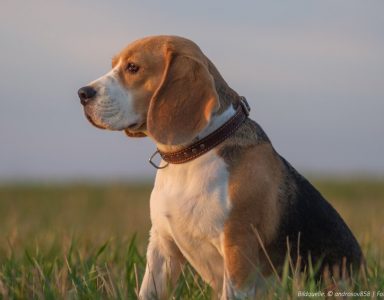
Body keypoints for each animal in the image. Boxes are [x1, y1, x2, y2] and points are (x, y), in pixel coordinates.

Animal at [79, 34, 364, 298]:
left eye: (133, 67)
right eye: (114, 65)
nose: (82, 93)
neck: (194, 153)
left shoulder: (238, 251)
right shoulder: (162, 247)